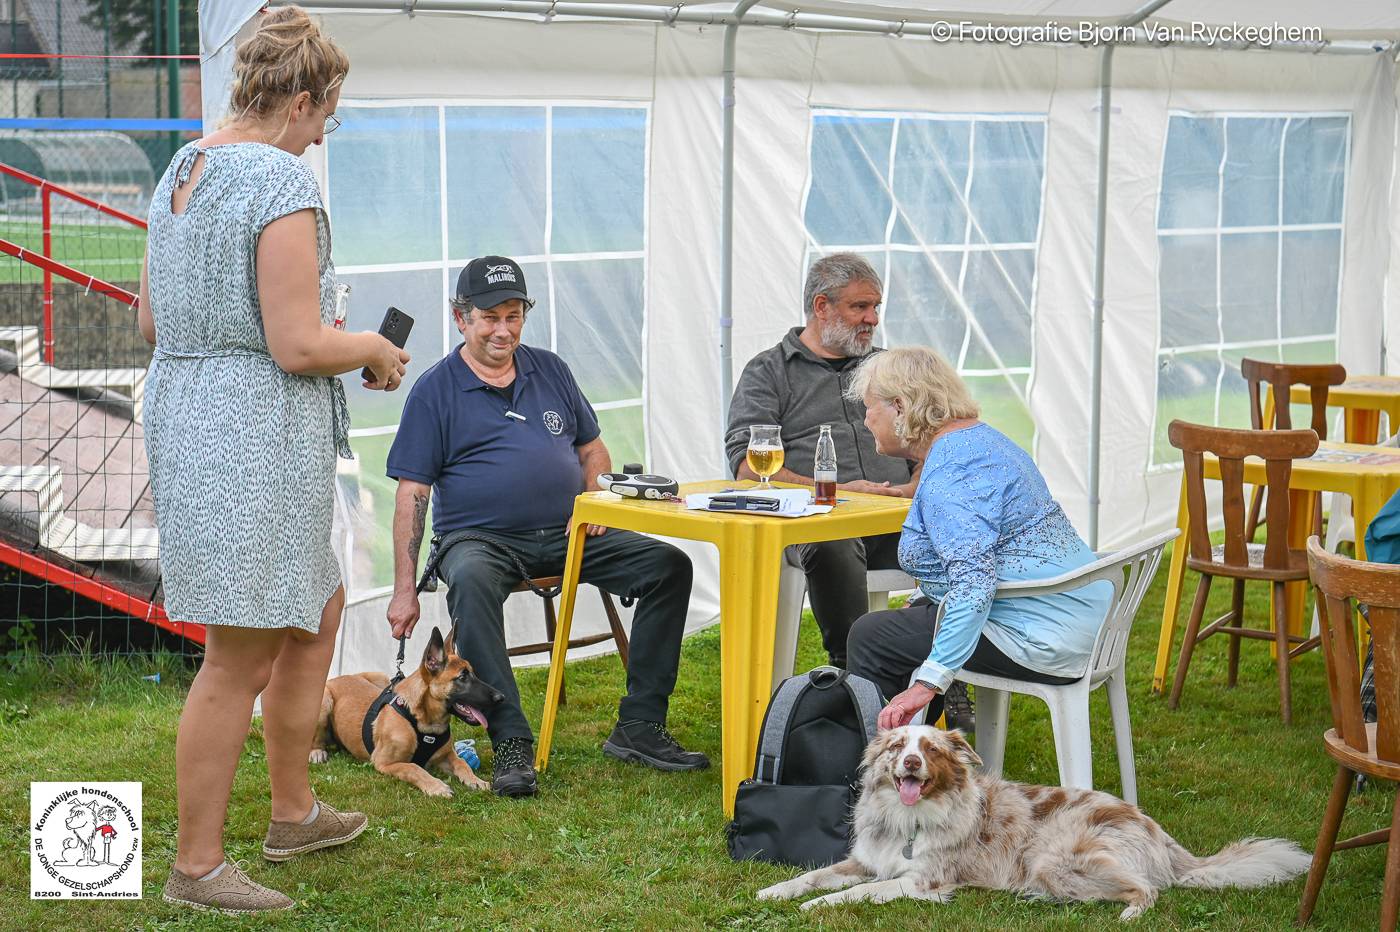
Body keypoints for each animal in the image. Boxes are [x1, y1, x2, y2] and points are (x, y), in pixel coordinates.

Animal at [310, 624, 504, 789]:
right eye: (462, 677)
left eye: (473, 673)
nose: (501, 697)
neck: (423, 722)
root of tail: (338, 677)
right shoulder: (383, 762)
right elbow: (413, 768)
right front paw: (436, 786)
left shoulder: (446, 756)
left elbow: (462, 763)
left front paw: (475, 780)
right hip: (324, 702)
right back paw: (317, 752)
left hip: (381, 678)